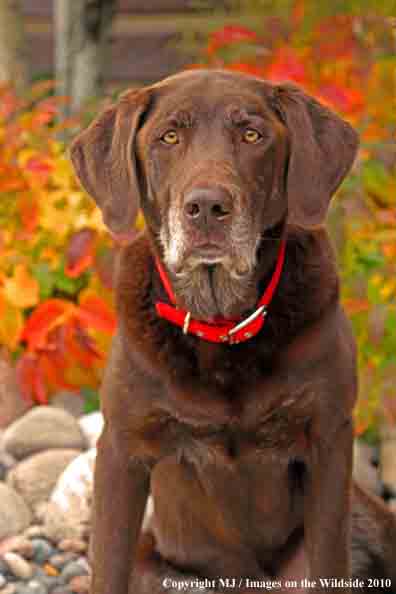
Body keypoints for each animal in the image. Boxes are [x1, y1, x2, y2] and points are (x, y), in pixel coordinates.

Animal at [70, 69, 396, 592]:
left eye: (252, 134)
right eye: (168, 137)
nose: (206, 206)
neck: (222, 325)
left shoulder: (329, 440)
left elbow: (329, 559)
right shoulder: (122, 448)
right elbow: (109, 566)